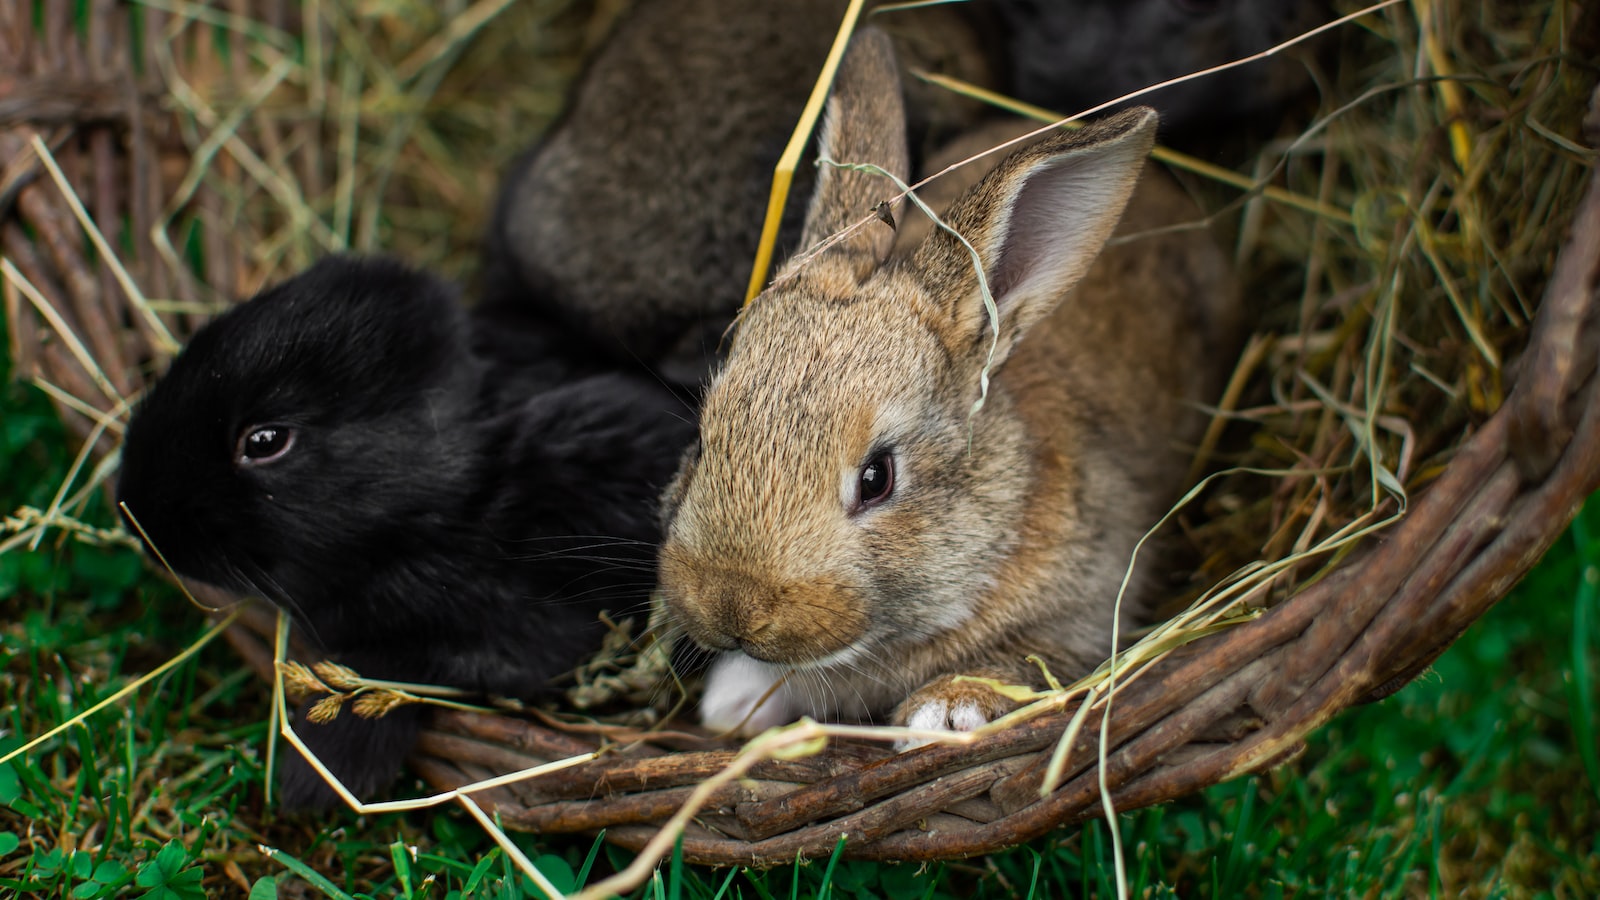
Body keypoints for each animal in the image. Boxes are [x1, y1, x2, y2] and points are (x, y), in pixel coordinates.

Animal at [656, 31, 1241, 739]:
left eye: (877, 478)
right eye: (703, 441)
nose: (730, 608)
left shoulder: (1093, 600)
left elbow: (1034, 656)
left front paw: (947, 709)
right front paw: (733, 703)